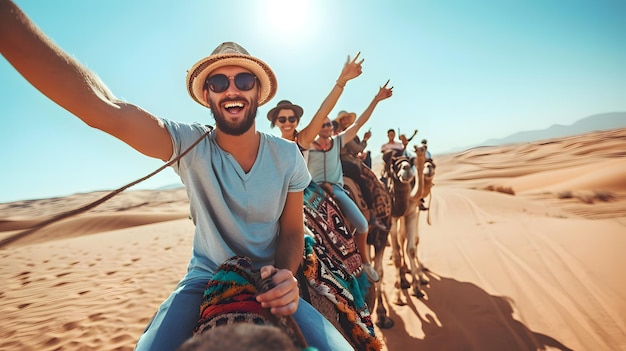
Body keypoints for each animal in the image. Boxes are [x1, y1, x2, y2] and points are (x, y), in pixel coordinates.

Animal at [380, 146, 434, 306]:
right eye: (394, 165)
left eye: (411, 161)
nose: (407, 168)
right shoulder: (392, 219)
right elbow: (397, 254)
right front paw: (398, 296)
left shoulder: (411, 213)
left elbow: (411, 249)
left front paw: (417, 288)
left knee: (407, 239)